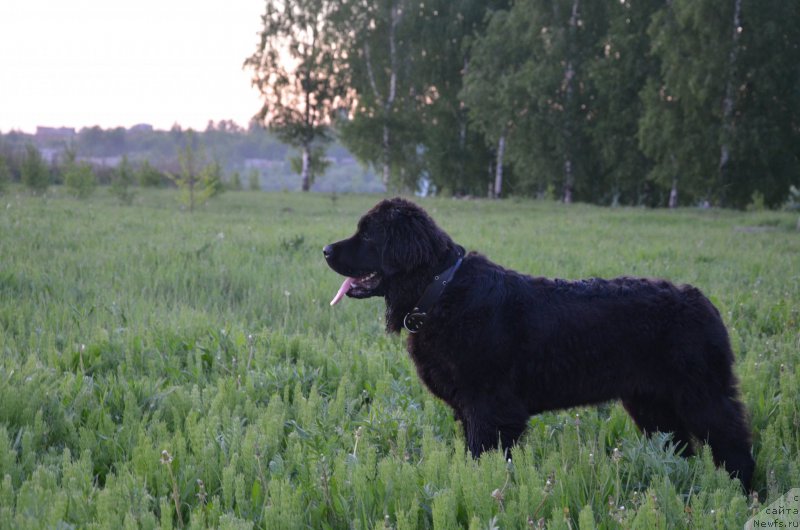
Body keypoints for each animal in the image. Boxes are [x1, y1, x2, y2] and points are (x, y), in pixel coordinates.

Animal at [322, 196, 752, 488]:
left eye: (368, 235)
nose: (325, 249)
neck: (441, 291)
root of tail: (703, 302)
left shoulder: (492, 408)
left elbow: (483, 456)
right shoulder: (470, 408)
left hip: (701, 394)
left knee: (733, 440)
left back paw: (743, 492)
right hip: (652, 403)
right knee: (679, 445)